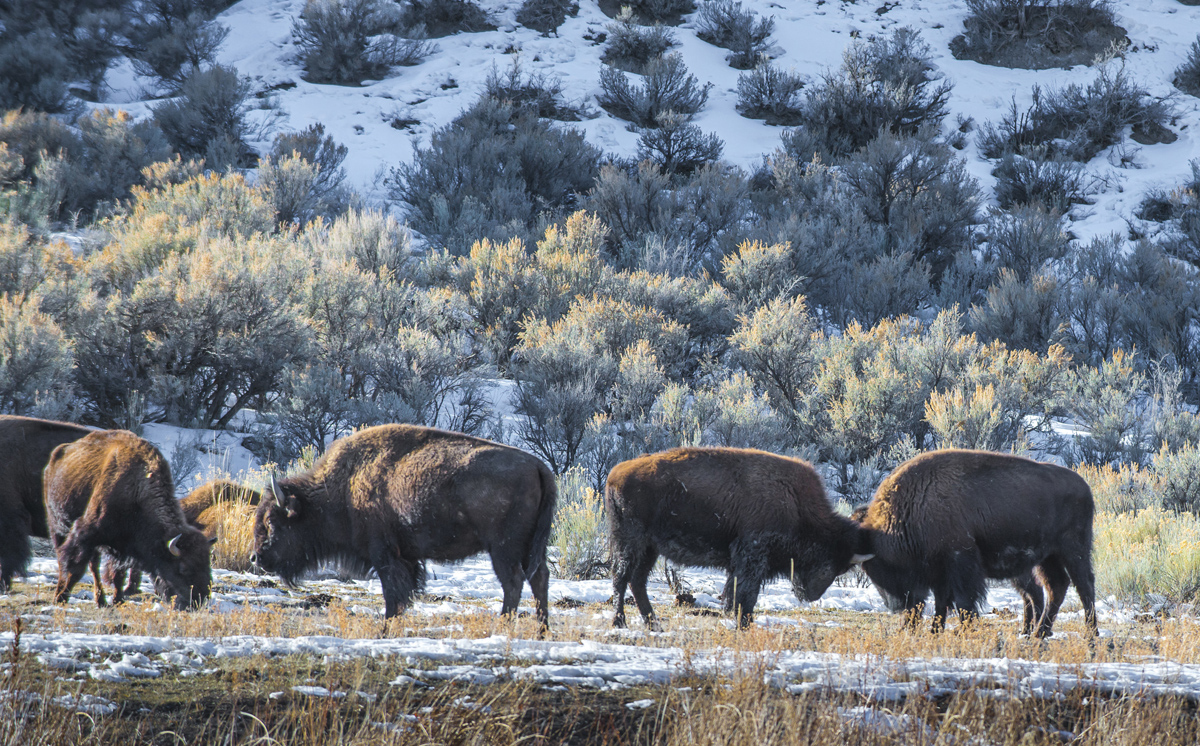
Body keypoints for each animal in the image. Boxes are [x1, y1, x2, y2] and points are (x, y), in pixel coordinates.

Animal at [43, 429, 217, 611]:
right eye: (183, 568)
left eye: (207, 566)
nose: (198, 601)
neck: (137, 490)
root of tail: (57, 455)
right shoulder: (86, 534)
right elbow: (75, 569)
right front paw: (60, 598)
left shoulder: (122, 546)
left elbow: (118, 574)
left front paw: (118, 600)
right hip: (57, 525)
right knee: (66, 559)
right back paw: (64, 594)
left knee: (93, 566)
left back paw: (101, 600)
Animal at [252, 424, 556, 628]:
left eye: (271, 522)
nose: (256, 557)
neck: (343, 487)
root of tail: (540, 467)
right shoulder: (406, 557)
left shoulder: (384, 554)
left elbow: (392, 596)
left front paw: (386, 628)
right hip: (531, 547)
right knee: (539, 578)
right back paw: (541, 630)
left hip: (503, 548)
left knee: (513, 582)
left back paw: (504, 625)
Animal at [604, 450, 868, 633]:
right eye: (832, 563)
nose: (811, 595)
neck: (795, 502)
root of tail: (616, 473)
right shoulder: (752, 558)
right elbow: (745, 596)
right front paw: (744, 624)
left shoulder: (740, 565)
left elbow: (735, 592)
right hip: (631, 541)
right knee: (621, 577)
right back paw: (620, 622)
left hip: (650, 548)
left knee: (637, 580)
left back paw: (653, 625)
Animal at [854, 446, 1099, 638]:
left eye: (882, 565)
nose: (896, 606)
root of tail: (1085, 487)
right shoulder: (940, 573)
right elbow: (942, 603)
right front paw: (935, 632)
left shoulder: (959, 563)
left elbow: (963, 602)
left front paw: (964, 631)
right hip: (1048, 557)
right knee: (1056, 586)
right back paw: (1040, 633)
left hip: (1074, 550)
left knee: (1084, 586)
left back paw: (1090, 634)